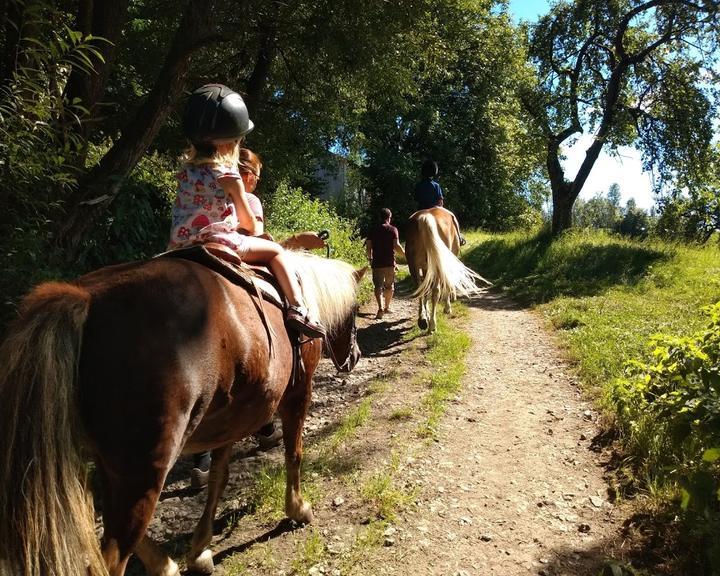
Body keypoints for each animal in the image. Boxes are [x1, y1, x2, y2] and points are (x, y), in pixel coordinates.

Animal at [0, 252, 366, 576]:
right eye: (355, 312)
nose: (355, 356)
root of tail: (85, 300)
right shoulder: (298, 394)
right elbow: (294, 453)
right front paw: (298, 508)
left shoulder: (229, 420)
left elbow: (219, 476)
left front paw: (200, 550)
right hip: (145, 468)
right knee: (112, 554)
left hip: (105, 463)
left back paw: (164, 565)